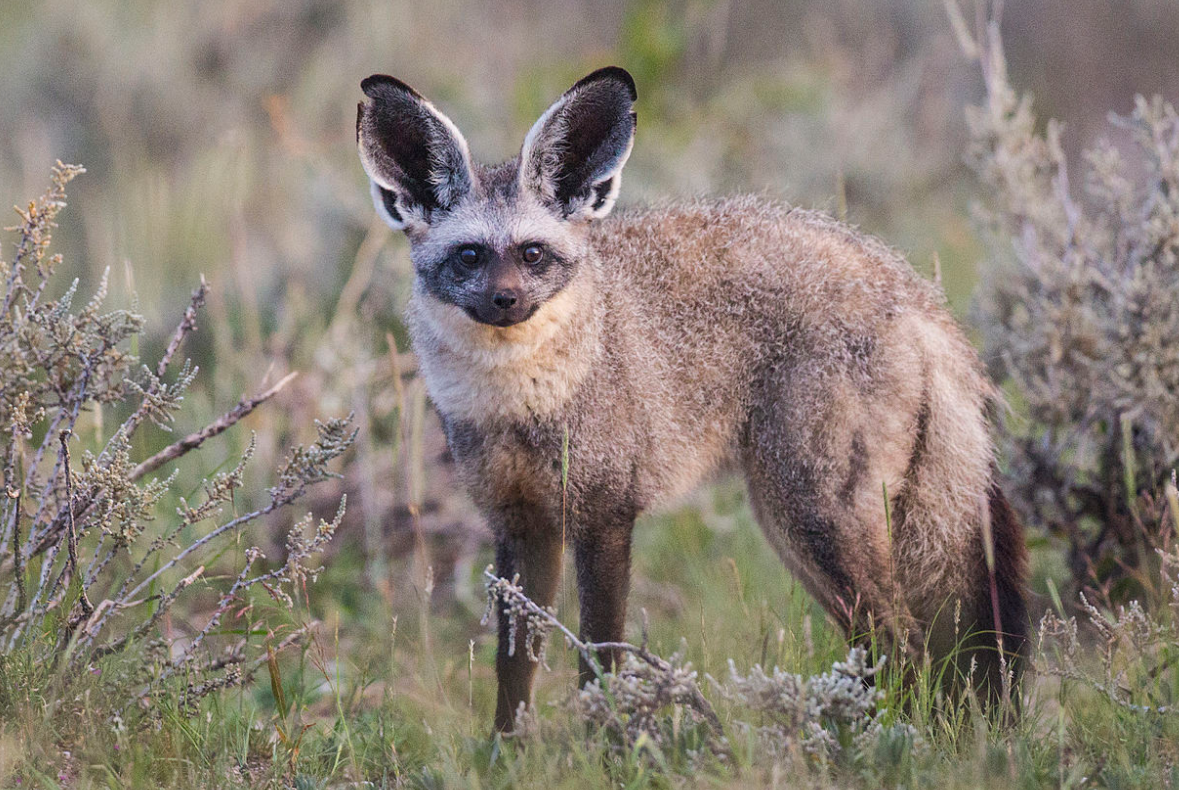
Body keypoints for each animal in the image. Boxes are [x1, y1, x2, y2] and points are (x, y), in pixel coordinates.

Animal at [353, 64, 1028, 735]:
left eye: (532, 254)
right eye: (469, 255)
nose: (506, 301)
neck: (520, 406)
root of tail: (911, 288)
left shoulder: (605, 517)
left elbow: (599, 660)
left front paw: (607, 745)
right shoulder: (521, 526)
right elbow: (514, 673)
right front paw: (507, 752)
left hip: (811, 517)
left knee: (903, 643)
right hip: (800, 530)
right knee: (886, 648)